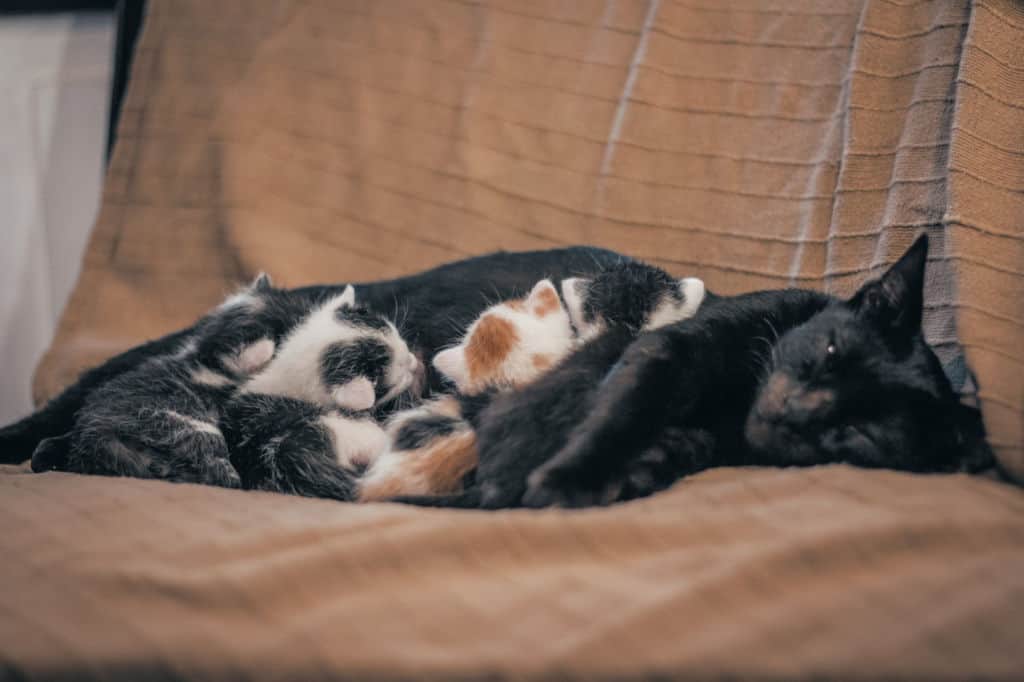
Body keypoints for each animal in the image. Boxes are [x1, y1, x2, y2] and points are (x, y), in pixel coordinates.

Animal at [405, 232, 991, 503]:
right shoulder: (665, 349)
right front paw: (566, 478)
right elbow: (622, 407)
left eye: (860, 432)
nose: (791, 412)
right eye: (828, 351)